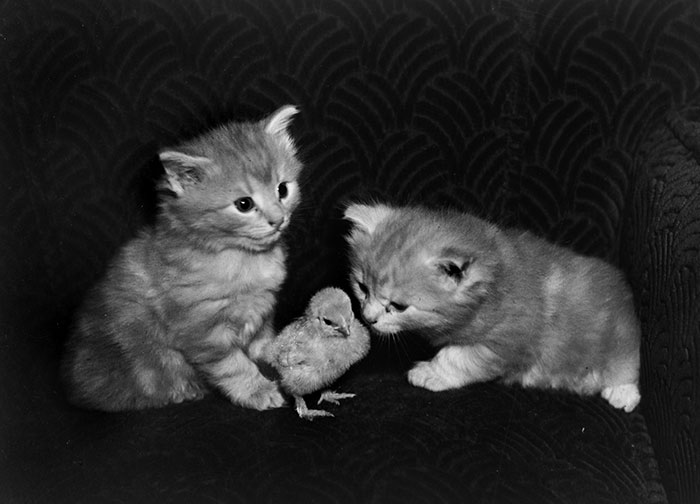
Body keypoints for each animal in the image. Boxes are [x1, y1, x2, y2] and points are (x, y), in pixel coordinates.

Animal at [60, 104, 300, 412]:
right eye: (244, 204)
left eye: (282, 189)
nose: (278, 220)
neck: (241, 257)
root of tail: (72, 386)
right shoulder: (202, 330)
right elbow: (234, 366)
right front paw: (258, 390)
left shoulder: (263, 308)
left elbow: (262, 340)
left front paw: (279, 352)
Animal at [344, 203, 640, 412]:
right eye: (363, 288)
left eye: (398, 306)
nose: (368, 318)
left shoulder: (508, 341)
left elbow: (456, 357)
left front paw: (429, 373)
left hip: (620, 339)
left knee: (628, 363)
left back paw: (622, 391)